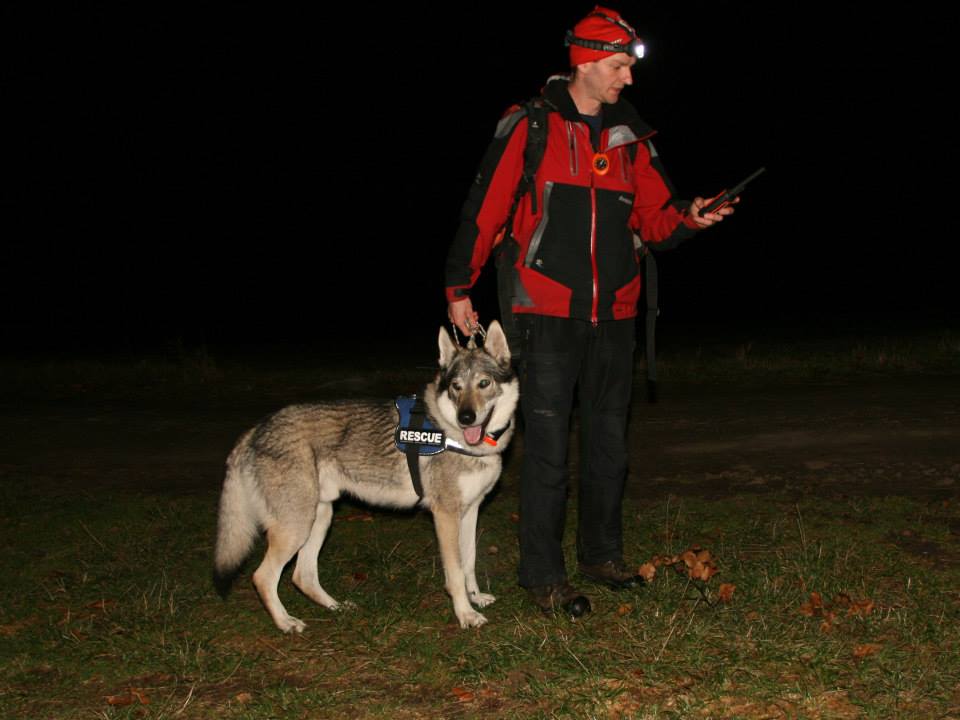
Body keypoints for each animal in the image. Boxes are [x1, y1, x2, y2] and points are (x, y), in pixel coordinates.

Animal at [214, 320, 516, 632]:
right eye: (456, 387)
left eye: (484, 383)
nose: (466, 418)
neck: (453, 433)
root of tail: (255, 429)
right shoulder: (445, 515)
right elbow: (455, 573)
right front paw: (465, 614)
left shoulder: (470, 511)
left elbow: (469, 562)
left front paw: (476, 598)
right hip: (296, 526)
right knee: (263, 577)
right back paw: (286, 622)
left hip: (319, 518)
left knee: (302, 576)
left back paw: (336, 607)